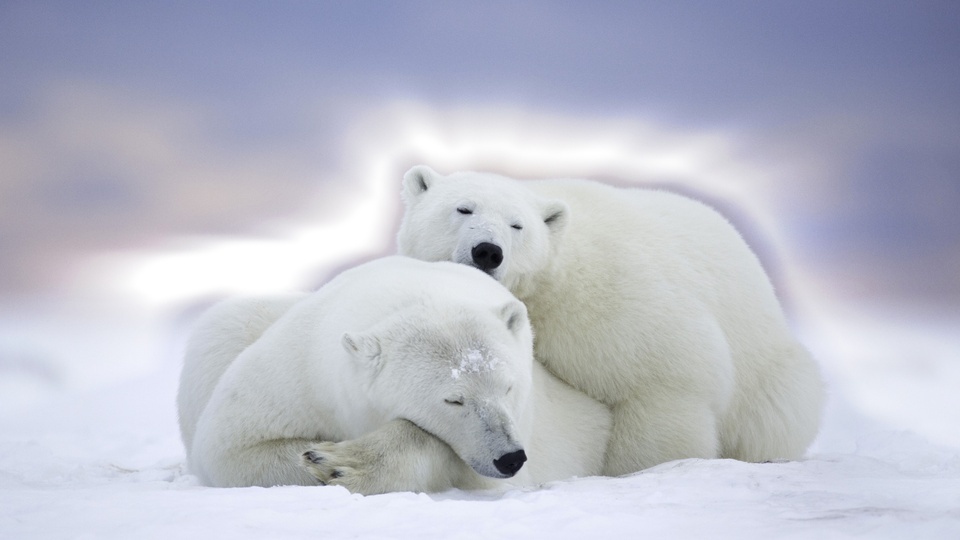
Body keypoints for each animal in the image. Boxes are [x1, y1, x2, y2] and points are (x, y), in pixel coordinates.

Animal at [177, 256, 612, 494]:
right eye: (454, 399)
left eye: (508, 387)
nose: (510, 457)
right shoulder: (299, 372)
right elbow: (231, 448)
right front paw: (321, 457)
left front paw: (341, 462)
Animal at [396, 166, 824, 476]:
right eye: (463, 208)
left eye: (517, 225)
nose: (487, 251)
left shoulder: (611, 301)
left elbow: (664, 379)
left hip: (768, 371)